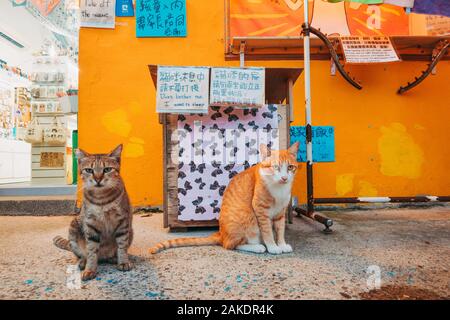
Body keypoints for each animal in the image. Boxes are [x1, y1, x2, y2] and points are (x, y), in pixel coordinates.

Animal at [53, 144, 134, 280]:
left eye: (107, 169)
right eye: (89, 170)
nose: (98, 179)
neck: (102, 200)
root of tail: (103, 256)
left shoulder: (123, 222)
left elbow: (122, 246)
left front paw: (123, 262)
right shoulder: (90, 224)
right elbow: (91, 251)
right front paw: (90, 269)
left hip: (131, 231)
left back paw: (114, 258)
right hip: (73, 227)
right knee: (82, 255)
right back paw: (82, 262)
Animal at [149, 142, 300, 255]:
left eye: (290, 167)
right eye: (276, 167)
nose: (284, 178)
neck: (279, 189)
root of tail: (221, 234)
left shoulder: (280, 212)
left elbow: (280, 230)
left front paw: (281, 244)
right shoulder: (260, 210)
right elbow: (268, 231)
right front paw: (273, 247)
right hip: (248, 218)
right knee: (230, 245)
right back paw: (257, 247)